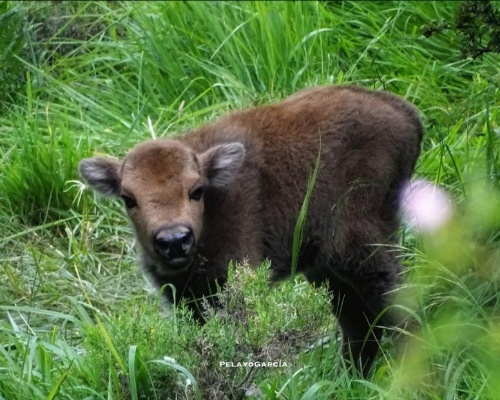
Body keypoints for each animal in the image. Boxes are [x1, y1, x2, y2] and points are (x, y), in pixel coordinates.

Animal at [80, 85, 424, 376]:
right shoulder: (189, 298)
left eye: (196, 190)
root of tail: (406, 113)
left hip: (363, 246)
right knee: (359, 320)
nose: (175, 241)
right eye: (128, 198)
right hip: (327, 267)